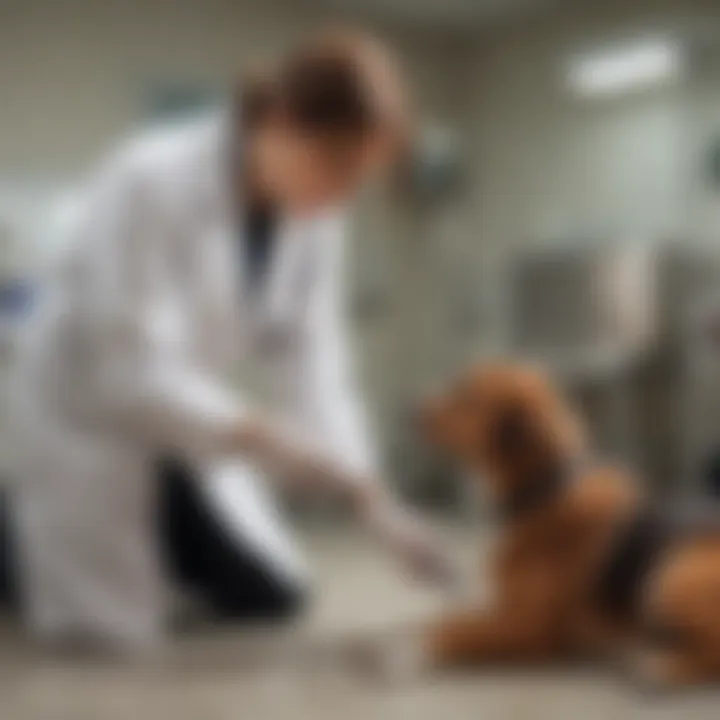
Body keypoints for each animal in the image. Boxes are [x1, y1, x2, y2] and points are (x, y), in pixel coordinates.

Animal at [390, 366, 720, 688]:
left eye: (467, 395)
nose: (408, 408)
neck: (543, 493)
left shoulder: (529, 626)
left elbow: (454, 628)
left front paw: (406, 650)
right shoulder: (506, 605)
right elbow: (451, 616)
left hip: (670, 574)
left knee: (711, 653)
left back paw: (658, 667)